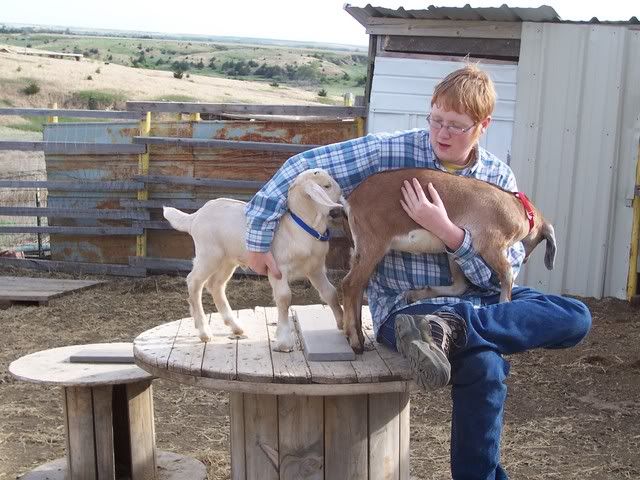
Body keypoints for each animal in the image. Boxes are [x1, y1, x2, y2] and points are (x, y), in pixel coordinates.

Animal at [163, 168, 344, 352]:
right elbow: (284, 297)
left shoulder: (315, 269)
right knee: (194, 281)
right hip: (209, 255)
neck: (300, 228)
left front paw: (342, 322)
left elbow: (330, 292)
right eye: (327, 185)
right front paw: (284, 340)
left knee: (215, 285)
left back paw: (235, 326)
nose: (341, 201)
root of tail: (195, 217)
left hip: (228, 260)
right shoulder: (278, 269)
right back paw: (204, 331)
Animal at [340, 168, 556, 353]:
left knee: (358, 286)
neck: (519, 209)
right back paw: (355, 341)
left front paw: (416, 294)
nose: (526, 259)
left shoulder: (453, 247)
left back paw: (359, 336)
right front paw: (504, 303)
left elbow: (460, 286)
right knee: (349, 284)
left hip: (361, 249)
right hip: (373, 245)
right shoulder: (489, 243)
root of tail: (351, 201)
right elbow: (507, 273)